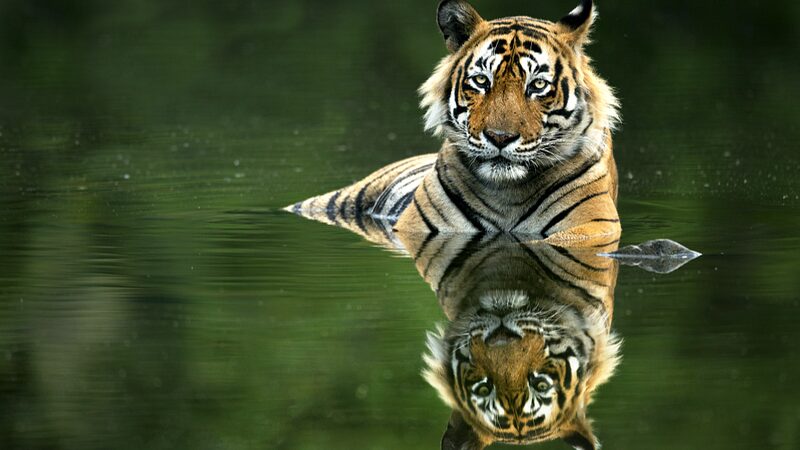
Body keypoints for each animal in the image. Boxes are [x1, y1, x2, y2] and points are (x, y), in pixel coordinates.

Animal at [286, 0, 621, 247]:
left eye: (537, 85)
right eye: (481, 81)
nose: (500, 137)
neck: (507, 193)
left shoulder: (594, 224)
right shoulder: (418, 228)